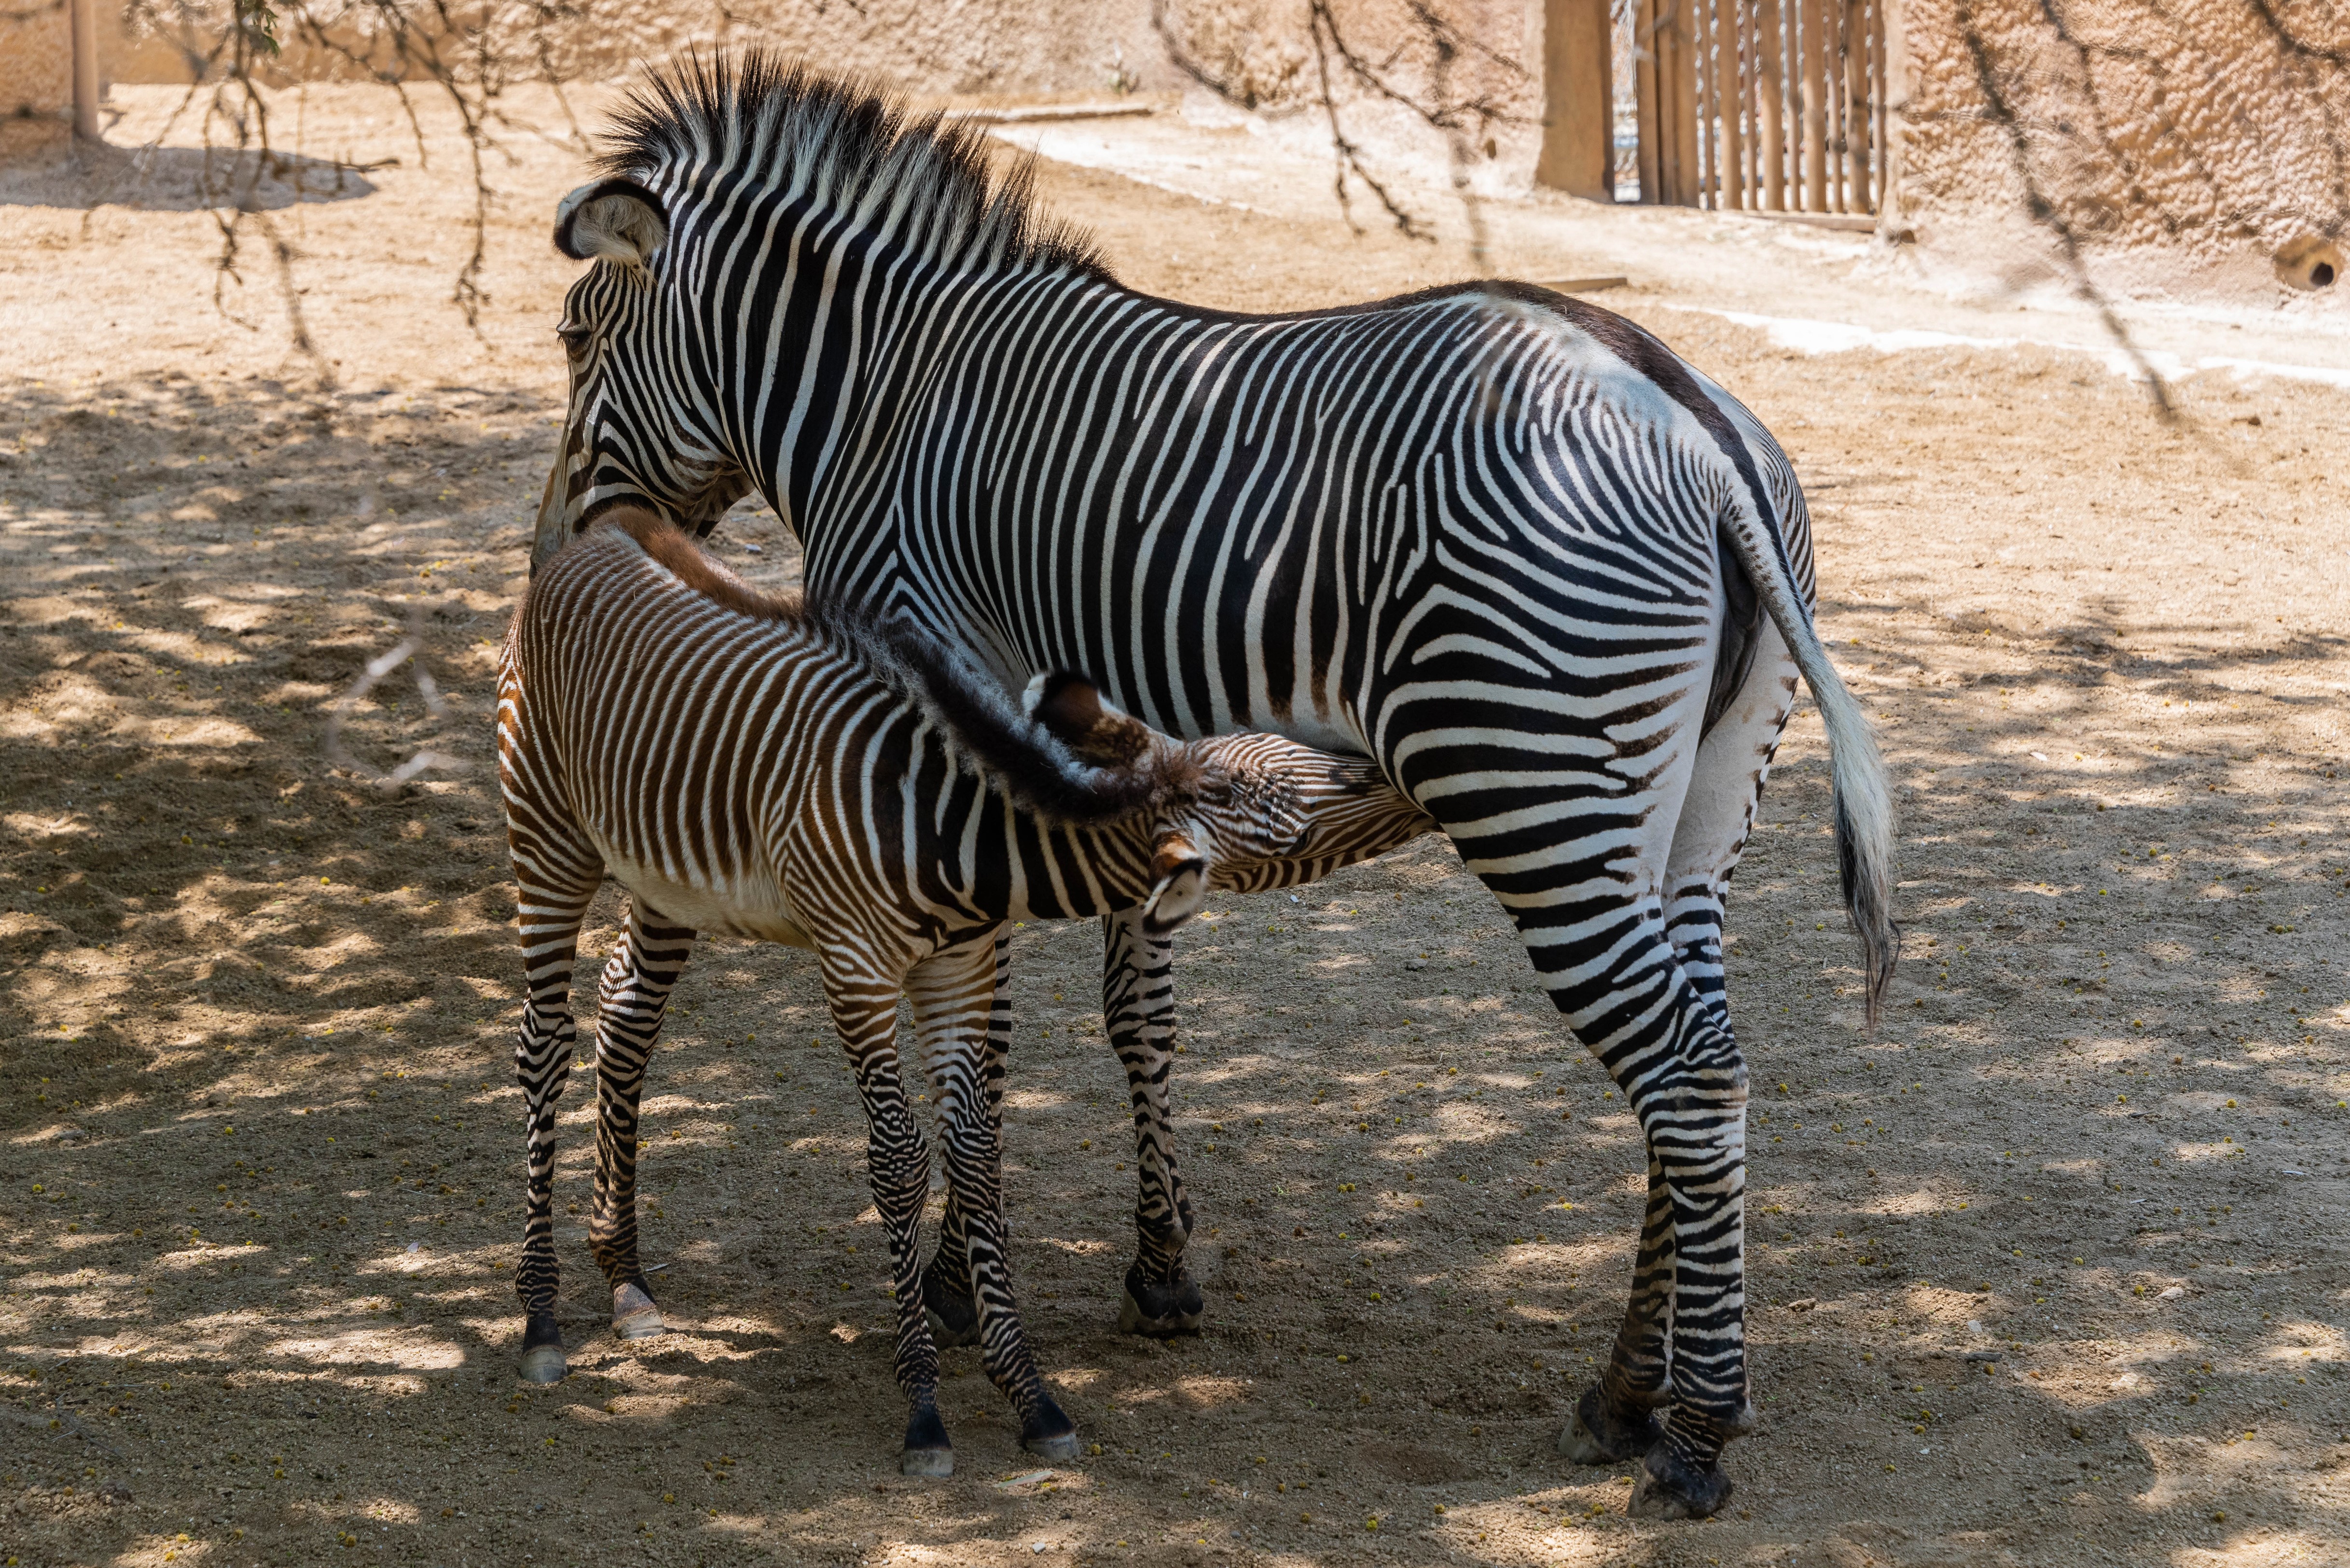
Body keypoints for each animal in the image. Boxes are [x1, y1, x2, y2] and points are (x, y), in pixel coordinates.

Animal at [499, 507, 1404, 1475]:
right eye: (1293, 816)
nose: (1384, 767)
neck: (952, 836)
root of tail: (599, 537)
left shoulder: (958, 971)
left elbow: (974, 1153)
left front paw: (1032, 1396)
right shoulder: (856, 968)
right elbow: (900, 1160)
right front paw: (924, 1408)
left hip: (663, 870)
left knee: (626, 1009)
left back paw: (627, 1278)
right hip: (548, 837)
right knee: (544, 1045)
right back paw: (541, 1318)